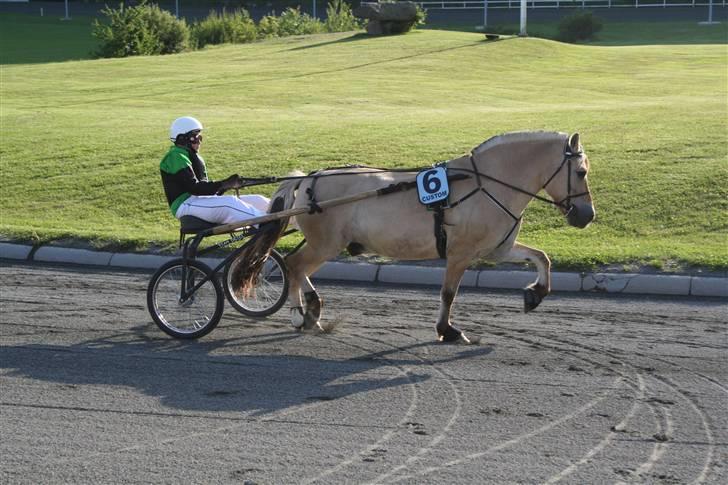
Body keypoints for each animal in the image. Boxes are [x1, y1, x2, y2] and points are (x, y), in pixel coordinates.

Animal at [258, 130, 596, 340]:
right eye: (581, 172)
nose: (587, 215)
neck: (486, 184)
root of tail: (310, 178)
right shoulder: (460, 253)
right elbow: (448, 293)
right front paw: (447, 330)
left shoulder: (497, 250)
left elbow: (542, 258)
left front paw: (535, 294)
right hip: (325, 244)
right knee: (294, 265)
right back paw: (300, 314)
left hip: (325, 244)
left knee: (296, 267)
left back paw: (311, 310)